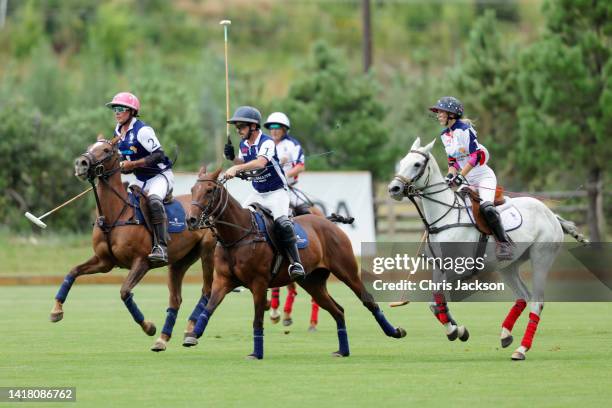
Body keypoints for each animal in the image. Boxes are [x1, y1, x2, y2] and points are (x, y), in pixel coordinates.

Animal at [184, 167, 406, 358]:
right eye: (193, 190)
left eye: (210, 190)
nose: (191, 220)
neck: (237, 235)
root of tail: (329, 222)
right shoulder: (223, 281)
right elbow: (208, 308)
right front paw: (192, 336)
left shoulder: (258, 283)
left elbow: (257, 319)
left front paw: (256, 353)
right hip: (312, 281)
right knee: (337, 310)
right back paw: (343, 350)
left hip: (346, 270)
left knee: (367, 299)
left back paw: (394, 332)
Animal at [388, 138, 588, 360]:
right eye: (402, 161)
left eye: (416, 164)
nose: (394, 188)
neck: (445, 216)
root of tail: (551, 213)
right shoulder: (439, 268)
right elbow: (435, 303)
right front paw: (458, 330)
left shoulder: (460, 269)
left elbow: (436, 301)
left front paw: (455, 330)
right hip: (508, 266)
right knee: (523, 296)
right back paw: (506, 335)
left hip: (541, 257)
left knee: (537, 301)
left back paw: (521, 349)